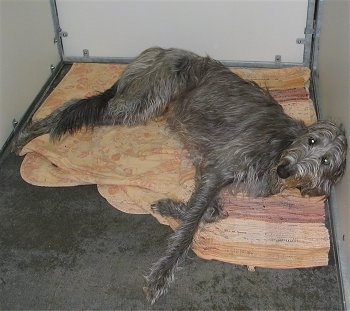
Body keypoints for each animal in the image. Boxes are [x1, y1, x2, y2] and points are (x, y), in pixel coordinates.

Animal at [13, 47, 348, 304]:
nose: (286, 169)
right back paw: (26, 133)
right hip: (144, 100)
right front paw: (162, 273)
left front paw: (168, 206)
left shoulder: (211, 171)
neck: (278, 148)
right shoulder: (218, 169)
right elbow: (191, 227)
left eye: (326, 161)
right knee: (79, 108)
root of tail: (160, 51)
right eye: (312, 141)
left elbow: (211, 212)